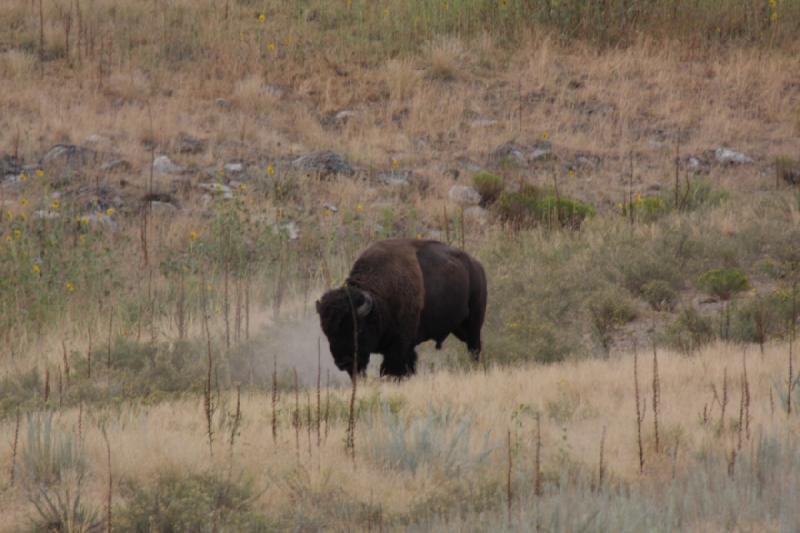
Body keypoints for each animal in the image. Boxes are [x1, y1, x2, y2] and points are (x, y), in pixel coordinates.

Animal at [316, 237, 484, 378]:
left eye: (358, 330)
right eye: (327, 332)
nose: (343, 362)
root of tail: (476, 265)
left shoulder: (400, 344)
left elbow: (393, 368)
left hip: (474, 323)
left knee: (474, 347)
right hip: (459, 328)